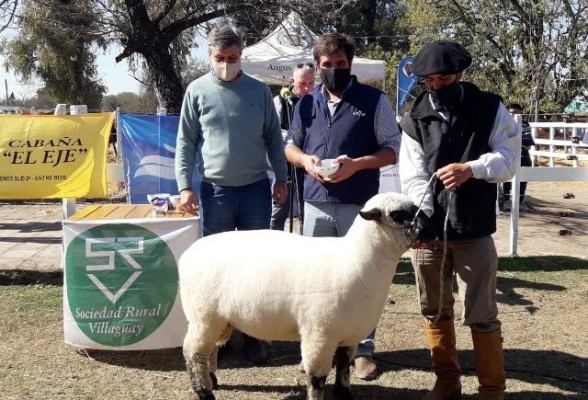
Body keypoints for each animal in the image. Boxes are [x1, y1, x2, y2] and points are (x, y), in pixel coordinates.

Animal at [181, 192, 416, 398]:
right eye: (397, 214)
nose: (426, 228)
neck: (356, 259)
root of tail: (188, 253)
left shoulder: (348, 335)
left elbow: (343, 369)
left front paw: (344, 395)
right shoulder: (319, 335)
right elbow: (316, 379)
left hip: (218, 320)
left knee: (209, 352)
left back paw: (212, 381)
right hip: (203, 317)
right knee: (193, 354)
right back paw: (205, 392)